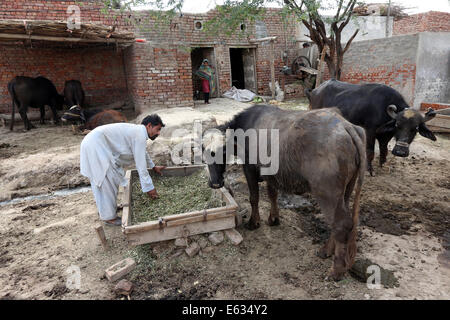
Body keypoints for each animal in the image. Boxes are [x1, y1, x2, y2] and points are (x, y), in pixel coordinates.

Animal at [306, 79, 436, 175]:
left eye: (415, 128)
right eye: (397, 125)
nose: (400, 152)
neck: (383, 109)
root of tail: (314, 91)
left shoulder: (386, 135)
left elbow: (384, 149)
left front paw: (382, 164)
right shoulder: (370, 131)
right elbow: (370, 151)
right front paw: (369, 170)